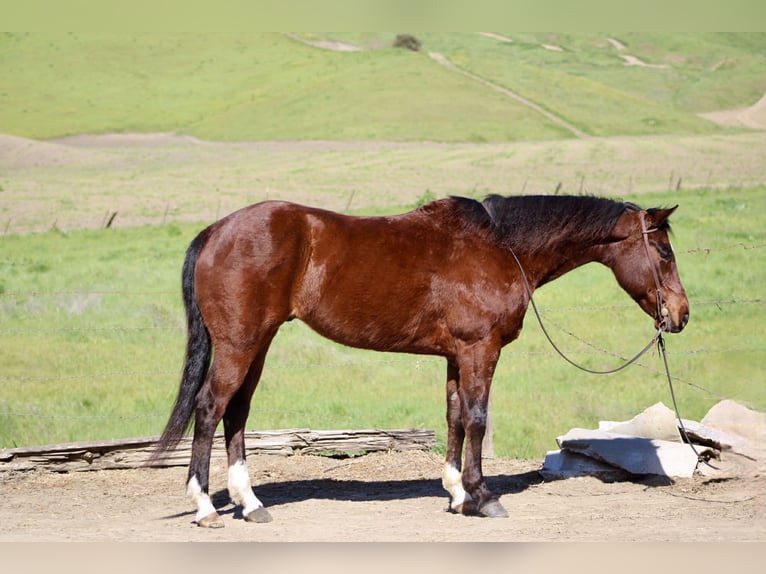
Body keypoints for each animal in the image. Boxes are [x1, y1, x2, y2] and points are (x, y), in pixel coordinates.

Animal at [151, 193, 689, 527]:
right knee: (210, 408)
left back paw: (250, 503)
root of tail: (217, 231)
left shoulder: (455, 355)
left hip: (256, 344)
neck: (500, 247)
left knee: (236, 412)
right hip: (239, 345)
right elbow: (477, 418)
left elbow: (454, 418)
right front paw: (482, 497)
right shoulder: (479, 349)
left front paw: (456, 495)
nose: (681, 315)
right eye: (663, 251)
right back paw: (206, 507)